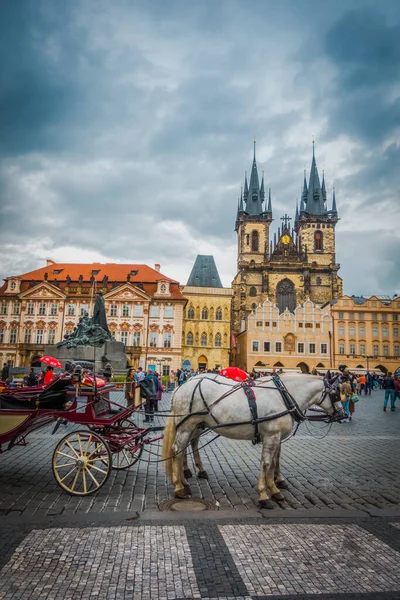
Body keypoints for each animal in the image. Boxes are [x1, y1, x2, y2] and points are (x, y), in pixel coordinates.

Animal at [162, 376, 344, 506]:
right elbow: (266, 463)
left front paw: (275, 488)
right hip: (187, 425)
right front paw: (264, 494)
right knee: (177, 450)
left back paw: (185, 480)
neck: (282, 396)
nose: (342, 414)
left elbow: (273, 462)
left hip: (195, 425)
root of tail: (181, 386)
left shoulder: (276, 437)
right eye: (336, 395)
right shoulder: (272, 435)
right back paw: (179, 487)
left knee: (185, 448)